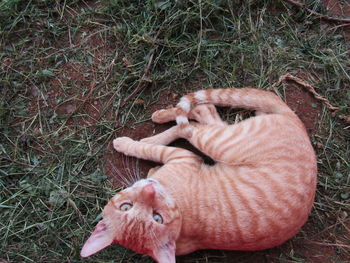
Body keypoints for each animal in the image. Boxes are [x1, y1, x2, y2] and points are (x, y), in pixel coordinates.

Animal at [80, 88, 316, 263]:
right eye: (126, 207)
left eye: (157, 217)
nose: (149, 189)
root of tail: (297, 122)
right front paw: (151, 166)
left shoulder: (182, 156)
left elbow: (146, 150)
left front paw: (128, 145)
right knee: (204, 117)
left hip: (218, 142)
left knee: (195, 119)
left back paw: (162, 120)